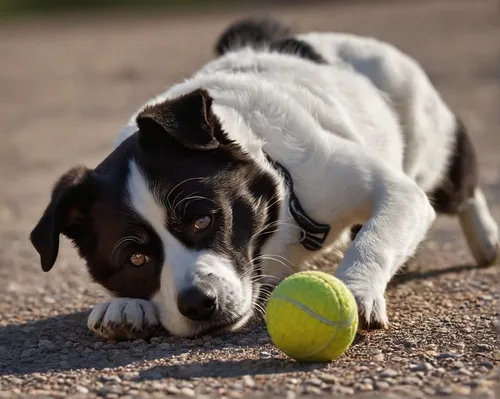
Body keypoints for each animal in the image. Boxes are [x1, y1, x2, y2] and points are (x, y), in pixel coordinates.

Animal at [30, 18, 496, 340]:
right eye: (136, 259)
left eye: (203, 219)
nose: (199, 304)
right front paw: (125, 306)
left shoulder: (390, 190)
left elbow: (376, 236)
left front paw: (355, 288)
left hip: (430, 141)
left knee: (461, 185)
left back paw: (485, 239)